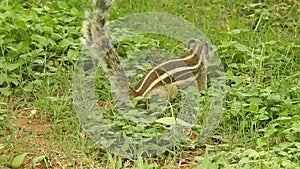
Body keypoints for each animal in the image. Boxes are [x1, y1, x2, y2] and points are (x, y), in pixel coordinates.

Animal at [82, 0, 213, 105]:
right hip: (167, 91)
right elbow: (202, 87)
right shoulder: (202, 71)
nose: (213, 49)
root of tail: (138, 93)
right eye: (210, 48)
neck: (195, 53)